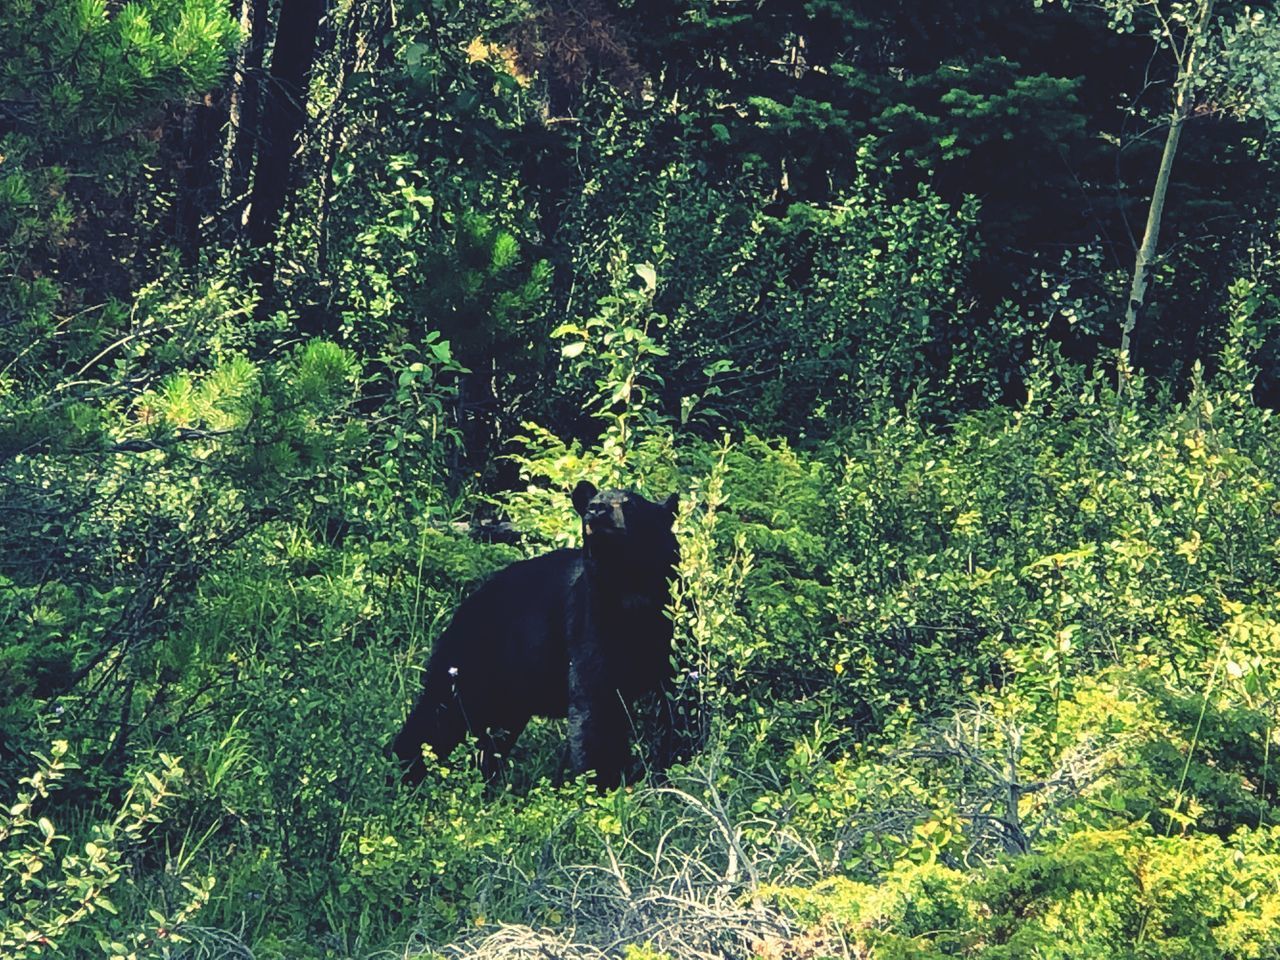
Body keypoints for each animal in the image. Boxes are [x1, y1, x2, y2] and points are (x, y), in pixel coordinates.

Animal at [391, 481, 680, 788]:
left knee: (490, 734)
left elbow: (675, 704)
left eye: (629, 503)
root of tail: (466, 605)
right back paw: (401, 769)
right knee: (440, 716)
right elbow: (595, 705)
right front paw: (604, 784)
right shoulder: (591, 621)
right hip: (474, 661)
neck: (630, 590)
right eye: (596, 500)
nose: (596, 509)